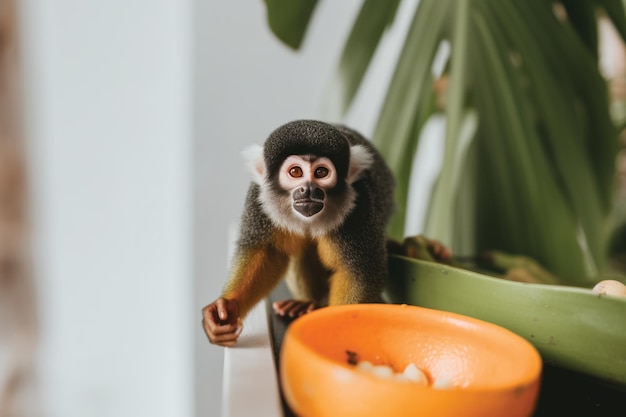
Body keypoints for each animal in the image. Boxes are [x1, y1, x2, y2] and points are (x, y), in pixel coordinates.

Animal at [202, 119, 446, 344]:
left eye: (321, 172)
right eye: (295, 172)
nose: (308, 189)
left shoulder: (359, 203)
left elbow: (360, 273)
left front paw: (337, 329)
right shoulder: (258, 196)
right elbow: (268, 252)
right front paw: (227, 308)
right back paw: (305, 303)